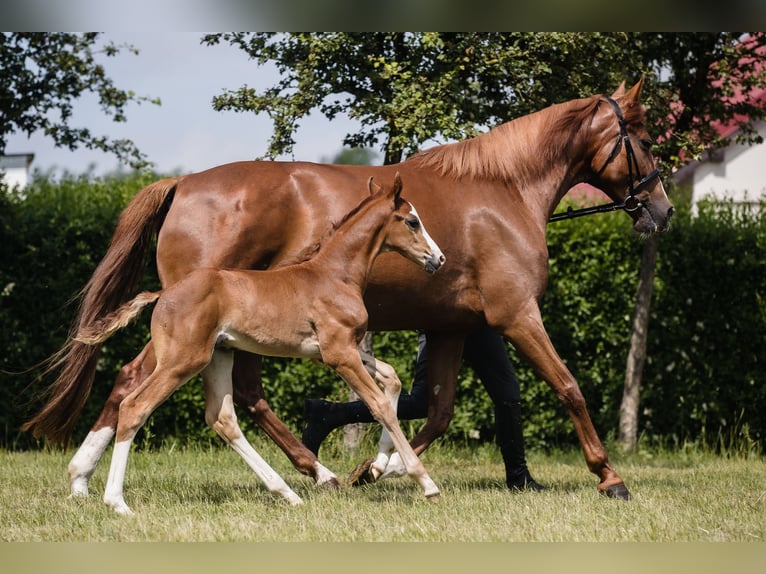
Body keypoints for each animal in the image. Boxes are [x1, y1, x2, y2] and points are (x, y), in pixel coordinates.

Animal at [75, 176, 448, 516]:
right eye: (412, 220)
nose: (439, 258)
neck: (335, 275)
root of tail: (163, 294)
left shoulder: (334, 351)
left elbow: (392, 379)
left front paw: (378, 467)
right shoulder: (339, 354)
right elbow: (379, 405)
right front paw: (425, 483)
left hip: (219, 356)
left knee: (222, 418)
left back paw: (287, 493)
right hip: (182, 360)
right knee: (135, 407)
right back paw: (116, 502)